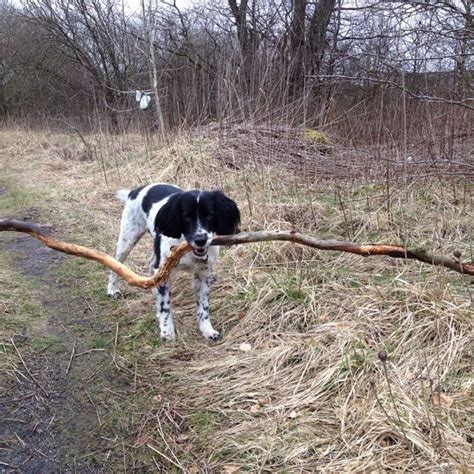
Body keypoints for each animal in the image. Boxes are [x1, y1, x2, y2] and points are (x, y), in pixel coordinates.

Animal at [108, 183, 241, 342]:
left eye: (209, 215)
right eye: (186, 216)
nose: (200, 240)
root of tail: (135, 190)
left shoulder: (203, 274)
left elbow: (203, 306)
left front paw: (207, 329)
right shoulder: (165, 271)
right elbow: (165, 306)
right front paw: (167, 331)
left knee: (151, 265)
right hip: (127, 240)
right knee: (116, 264)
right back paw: (112, 289)